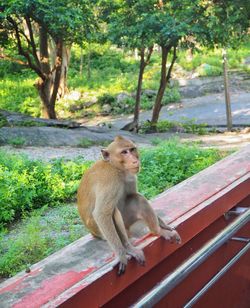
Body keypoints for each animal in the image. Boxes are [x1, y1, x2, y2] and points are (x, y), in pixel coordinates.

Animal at [77, 135, 181, 274]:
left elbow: (133, 194)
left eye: (132, 150)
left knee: (137, 198)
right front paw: (121, 255)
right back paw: (128, 248)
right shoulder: (109, 180)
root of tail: (93, 233)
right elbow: (101, 214)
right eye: (124, 152)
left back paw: (158, 230)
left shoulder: (131, 176)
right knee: (113, 212)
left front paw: (164, 225)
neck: (116, 168)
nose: (135, 161)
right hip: (101, 232)